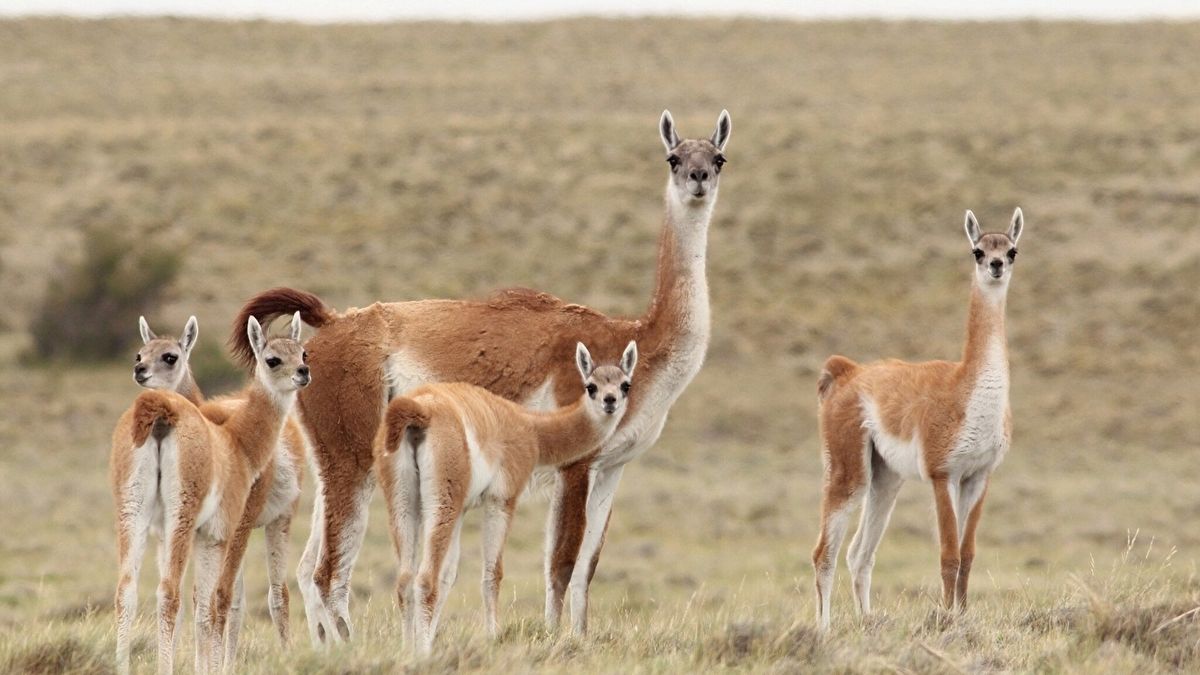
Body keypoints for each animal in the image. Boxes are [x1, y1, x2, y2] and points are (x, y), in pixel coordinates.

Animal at [112, 312, 309, 667]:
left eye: (303, 353)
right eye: (140, 354)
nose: (303, 372)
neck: (237, 440)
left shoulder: (192, 532)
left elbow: (206, 603)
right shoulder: (214, 531)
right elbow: (209, 602)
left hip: (133, 508)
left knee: (128, 590)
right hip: (204, 517)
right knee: (197, 594)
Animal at [374, 341, 638, 653]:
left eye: (625, 385)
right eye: (591, 386)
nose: (610, 401)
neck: (532, 429)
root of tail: (418, 410)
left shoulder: (464, 509)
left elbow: (450, 574)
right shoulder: (502, 499)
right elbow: (493, 573)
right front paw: (492, 637)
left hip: (403, 500)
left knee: (404, 580)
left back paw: (407, 650)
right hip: (442, 499)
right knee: (425, 579)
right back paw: (423, 655)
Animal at [811, 207, 1027, 629]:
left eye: (1011, 250)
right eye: (977, 251)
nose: (995, 265)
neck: (967, 391)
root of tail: (846, 372)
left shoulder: (979, 475)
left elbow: (968, 554)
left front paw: (963, 615)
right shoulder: (942, 471)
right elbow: (948, 555)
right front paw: (947, 618)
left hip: (885, 478)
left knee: (859, 553)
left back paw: (868, 621)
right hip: (847, 465)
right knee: (824, 553)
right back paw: (823, 629)